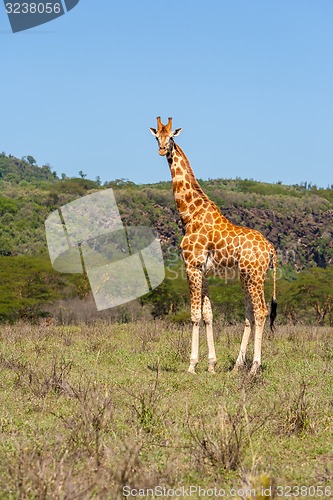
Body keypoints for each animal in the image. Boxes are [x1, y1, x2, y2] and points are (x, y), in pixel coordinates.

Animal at [149, 117, 276, 376]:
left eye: (172, 137)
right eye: (157, 137)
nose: (162, 150)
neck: (189, 215)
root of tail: (270, 249)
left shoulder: (191, 266)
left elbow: (195, 315)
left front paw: (192, 365)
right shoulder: (203, 270)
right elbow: (208, 314)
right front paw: (211, 365)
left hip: (254, 276)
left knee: (260, 311)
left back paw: (254, 367)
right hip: (247, 277)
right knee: (250, 313)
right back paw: (237, 366)